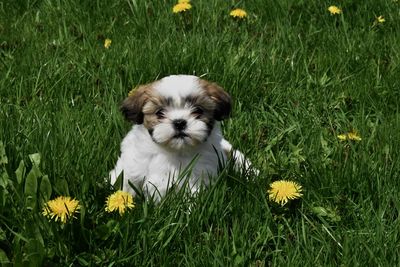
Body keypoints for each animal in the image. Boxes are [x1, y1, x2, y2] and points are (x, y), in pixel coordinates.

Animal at [109, 74, 252, 200]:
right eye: (159, 113)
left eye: (198, 110)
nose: (179, 122)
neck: (175, 151)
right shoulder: (133, 166)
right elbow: (126, 183)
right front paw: (122, 198)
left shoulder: (198, 176)